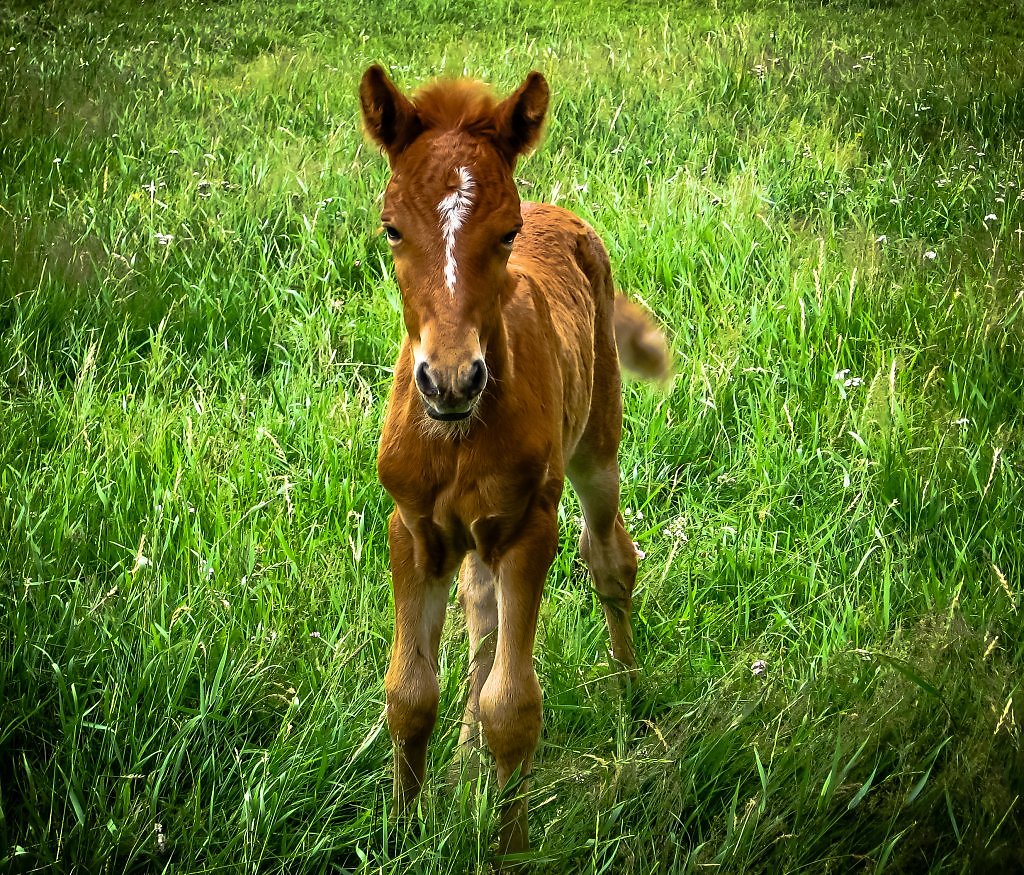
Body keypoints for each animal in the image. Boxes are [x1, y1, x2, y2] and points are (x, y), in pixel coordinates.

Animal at [360, 66, 671, 864]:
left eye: (506, 233)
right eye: (391, 228)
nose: (450, 380)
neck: (458, 434)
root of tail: (560, 209)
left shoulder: (531, 526)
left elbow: (516, 707)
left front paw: (510, 849)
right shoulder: (413, 528)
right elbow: (409, 693)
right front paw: (402, 834)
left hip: (597, 443)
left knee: (610, 556)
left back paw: (630, 696)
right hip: (474, 531)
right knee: (482, 608)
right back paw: (467, 751)